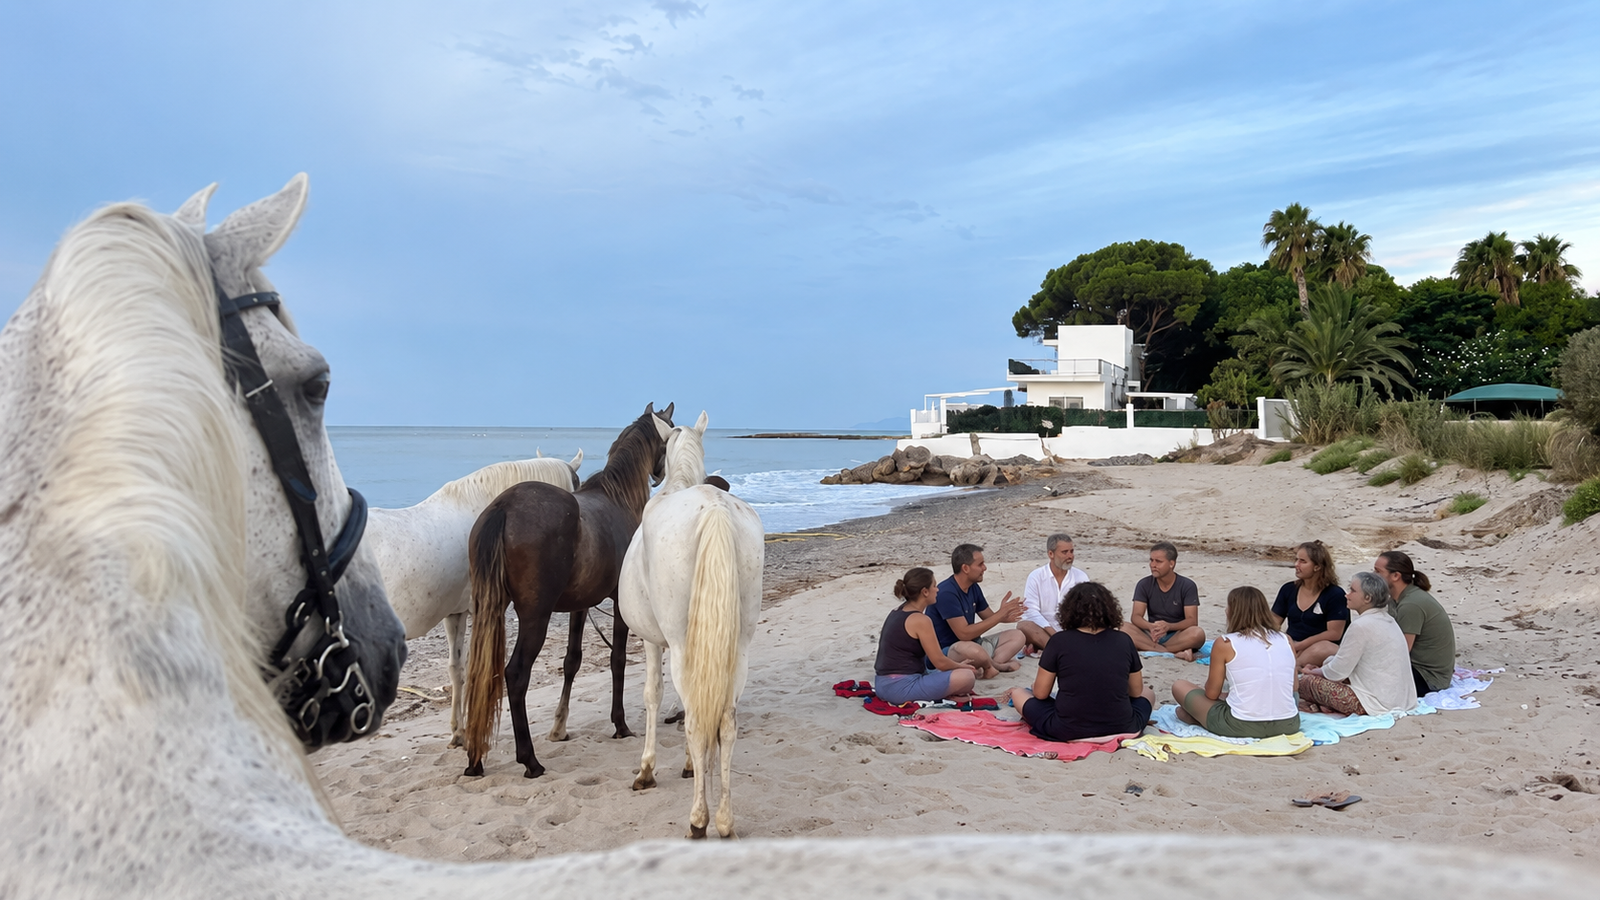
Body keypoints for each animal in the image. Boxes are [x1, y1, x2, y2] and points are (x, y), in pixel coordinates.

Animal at [462, 403, 673, 778]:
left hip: (491, 609)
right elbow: (617, 660)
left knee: (483, 675)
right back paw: (529, 760)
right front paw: (620, 725)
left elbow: (572, 660)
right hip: (535, 617)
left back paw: (476, 760)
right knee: (516, 675)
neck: (617, 499)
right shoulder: (619, 606)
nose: (660, 474)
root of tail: (503, 507)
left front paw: (560, 727)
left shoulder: (580, 606)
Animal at [619, 410, 764, 839]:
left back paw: (699, 819)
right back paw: (725, 821)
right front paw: (687, 765)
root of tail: (714, 509)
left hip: (684, 645)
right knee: (726, 724)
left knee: (700, 722)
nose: (653, 476)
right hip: (739, 649)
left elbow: (654, 695)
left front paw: (647, 770)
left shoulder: (653, 642)